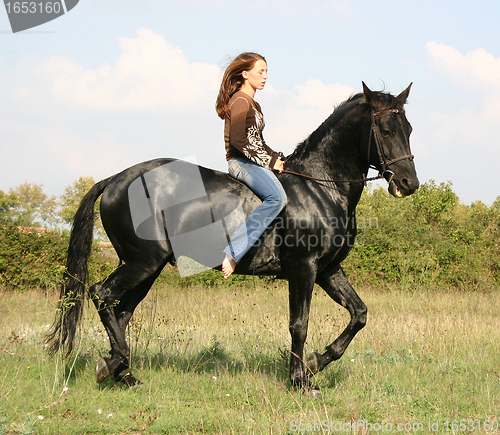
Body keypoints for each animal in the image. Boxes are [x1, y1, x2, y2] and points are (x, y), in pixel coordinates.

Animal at [48, 83, 420, 390]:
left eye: (409, 130)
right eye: (386, 130)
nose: (408, 184)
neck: (320, 187)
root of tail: (114, 180)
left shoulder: (328, 269)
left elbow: (359, 314)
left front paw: (316, 363)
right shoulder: (303, 268)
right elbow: (299, 323)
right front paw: (300, 380)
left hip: (147, 267)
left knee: (121, 312)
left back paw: (122, 372)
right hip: (142, 261)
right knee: (102, 294)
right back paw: (112, 364)